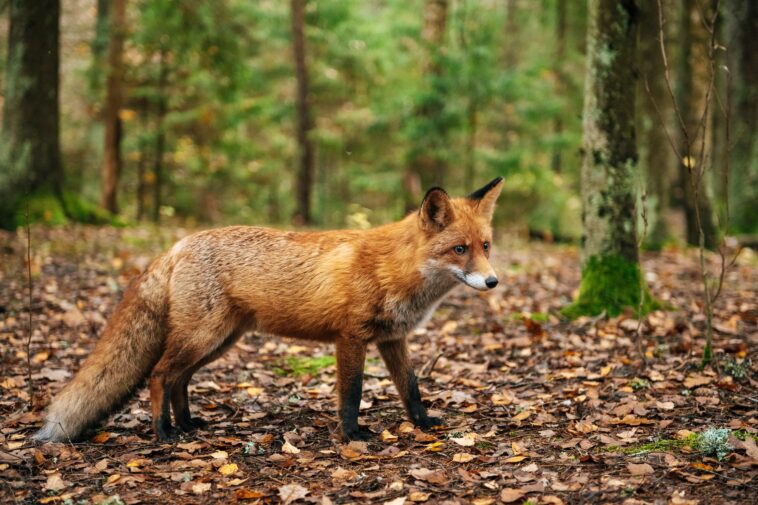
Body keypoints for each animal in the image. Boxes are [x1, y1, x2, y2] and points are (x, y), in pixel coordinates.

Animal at [33, 177, 503, 443]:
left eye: (485, 246)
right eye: (459, 250)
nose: (493, 282)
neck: (394, 270)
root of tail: (178, 245)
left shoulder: (393, 338)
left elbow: (411, 388)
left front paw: (423, 426)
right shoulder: (350, 338)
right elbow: (351, 394)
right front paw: (352, 435)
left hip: (219, 341)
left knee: (179, 379)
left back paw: (187, 425)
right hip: (202, 337)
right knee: (159, 374)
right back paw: (163, 432)